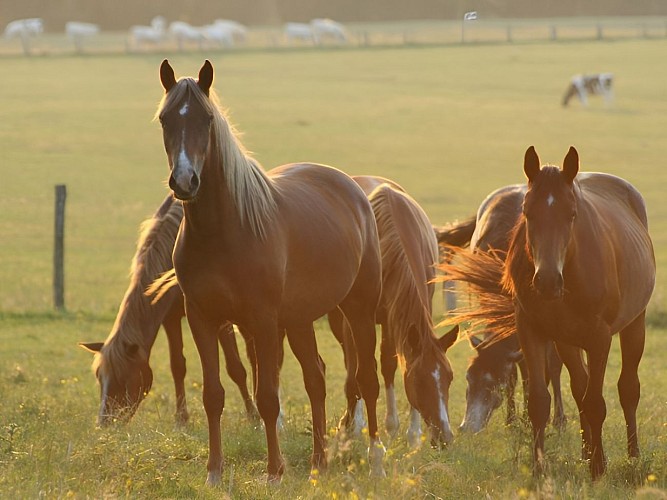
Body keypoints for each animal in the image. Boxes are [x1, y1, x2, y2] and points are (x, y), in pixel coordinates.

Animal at [80, 195, 257, 426]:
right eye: (100, 378)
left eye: (123, 377)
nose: (105, 423)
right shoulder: (170, 318)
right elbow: (177, 366)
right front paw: (181, 419)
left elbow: (235, 368)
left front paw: (253, 416)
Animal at [156, 60, 385, 484]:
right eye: (165, 118)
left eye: (207, 119)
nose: (184, 181)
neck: (224, 232)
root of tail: (354, 189)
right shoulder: (201, 319)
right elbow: (213, 395)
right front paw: (214, 472)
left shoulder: (261, 321)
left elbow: (267, 397)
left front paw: (275, 471)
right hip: (299, 319)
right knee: (316, 378)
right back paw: (319, 462)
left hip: (358, 310)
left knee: (367, 379)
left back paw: (375, 460)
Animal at [329, 175, 458, 449]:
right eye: (420, 381)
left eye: (450, 378)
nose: (444, 437)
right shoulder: (356, 319)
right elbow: (355, 375)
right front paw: (352, 427)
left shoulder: (396, 320)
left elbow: (390, 364)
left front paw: (409, 433)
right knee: (351, 364)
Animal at [436, 185, 566, 434]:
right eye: (468, 378)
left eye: (495, 383)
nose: (467, 426)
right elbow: (519, 371)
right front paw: (513, 419)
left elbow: (545, 367)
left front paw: (547, 418)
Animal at [502, 146, 655, 479]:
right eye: (527, 212)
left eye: (571, 214)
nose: (547, 281)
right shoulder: (531, 331)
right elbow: (540, 402)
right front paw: (539, 469)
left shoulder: (600, 339)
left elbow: (597, 403)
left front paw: (597, 470)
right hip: (566, 341)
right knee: (579, 387)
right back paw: (587, 453)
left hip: (634, 325)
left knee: (628, 389)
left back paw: (632, 456)